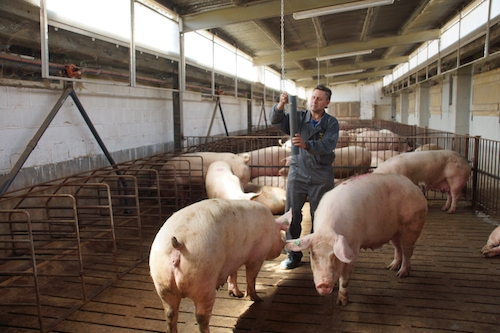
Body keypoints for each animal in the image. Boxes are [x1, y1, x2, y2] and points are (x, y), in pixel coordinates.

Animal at [148, 198, 292, 330]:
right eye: (280, 235)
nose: (283, 246)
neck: (272, 228)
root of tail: (178, 244)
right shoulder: (257, 257)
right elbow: (251, 277)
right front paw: (256, 298)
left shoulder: (232, 260)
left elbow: (232, 275)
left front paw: (237, 294)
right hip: (204, 281)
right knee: (201, 318)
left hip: (162, 284)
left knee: (170, 314)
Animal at [284, 174, 428, 306]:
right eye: (313, 254)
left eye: (334, 255)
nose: (324, 285)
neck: (327, 230)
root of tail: (416, 188)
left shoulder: (353, 247)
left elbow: (345, 278)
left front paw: (341, 303)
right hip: (394, 232)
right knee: (398, 248)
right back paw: (391, 267)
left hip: (412, 226)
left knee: (407, 251)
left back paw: (401, 274)